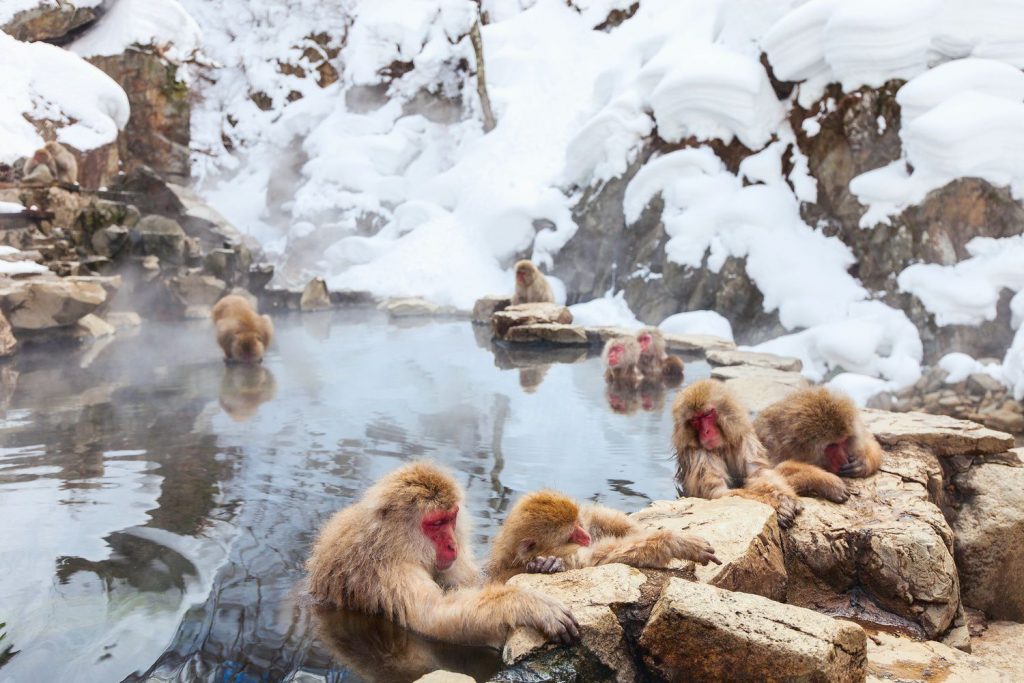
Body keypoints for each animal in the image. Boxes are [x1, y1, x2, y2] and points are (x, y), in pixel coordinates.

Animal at [303, 462, 581, 651]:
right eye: (436, 524)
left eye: (450, 518)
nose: (451, 544)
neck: (391, 542)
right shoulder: (392, 570)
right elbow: (433, 619)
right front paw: (527, 603)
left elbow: (473, 584)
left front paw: (542, 564)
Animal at [487, 491, 720, 581]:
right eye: (572, 534)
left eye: (577, 524)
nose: (585, 536)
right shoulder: (568, 556)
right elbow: (600, 559)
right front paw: (678, 542)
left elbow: (597, 517)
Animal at [671, 378, 806, 528]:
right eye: (695, 420)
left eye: (707, 415)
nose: (706, 432)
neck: (721, 446)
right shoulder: (699, 454)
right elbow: (718, 493)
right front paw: (777, 506)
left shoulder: (744, 438)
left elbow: (758, 473)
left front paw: (786, 497)